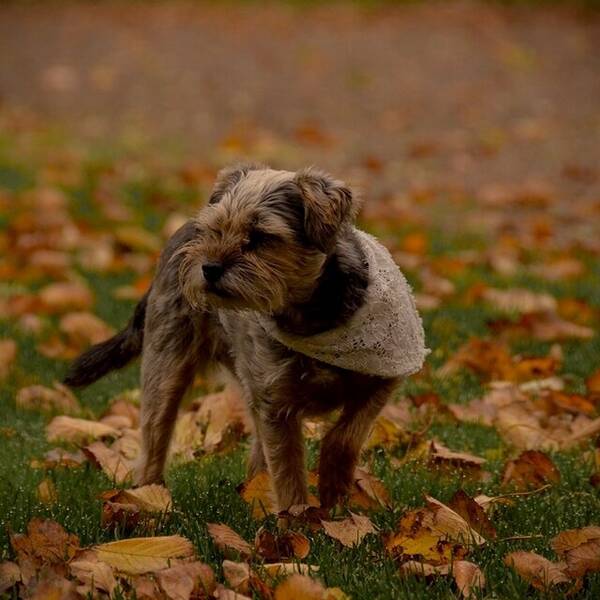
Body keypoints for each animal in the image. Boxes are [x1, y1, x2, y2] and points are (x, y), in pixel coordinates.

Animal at [64, 164, 426, 510]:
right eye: (217, 230)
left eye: (261, 237)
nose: (208, 268)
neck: (314, 316)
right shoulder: (276, 402)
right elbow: (288, 470)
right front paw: (299, 521)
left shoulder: (382, 377)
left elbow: (346, 435)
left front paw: (334, 493)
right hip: (167, 363)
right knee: (156, 434)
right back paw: (147, 500)